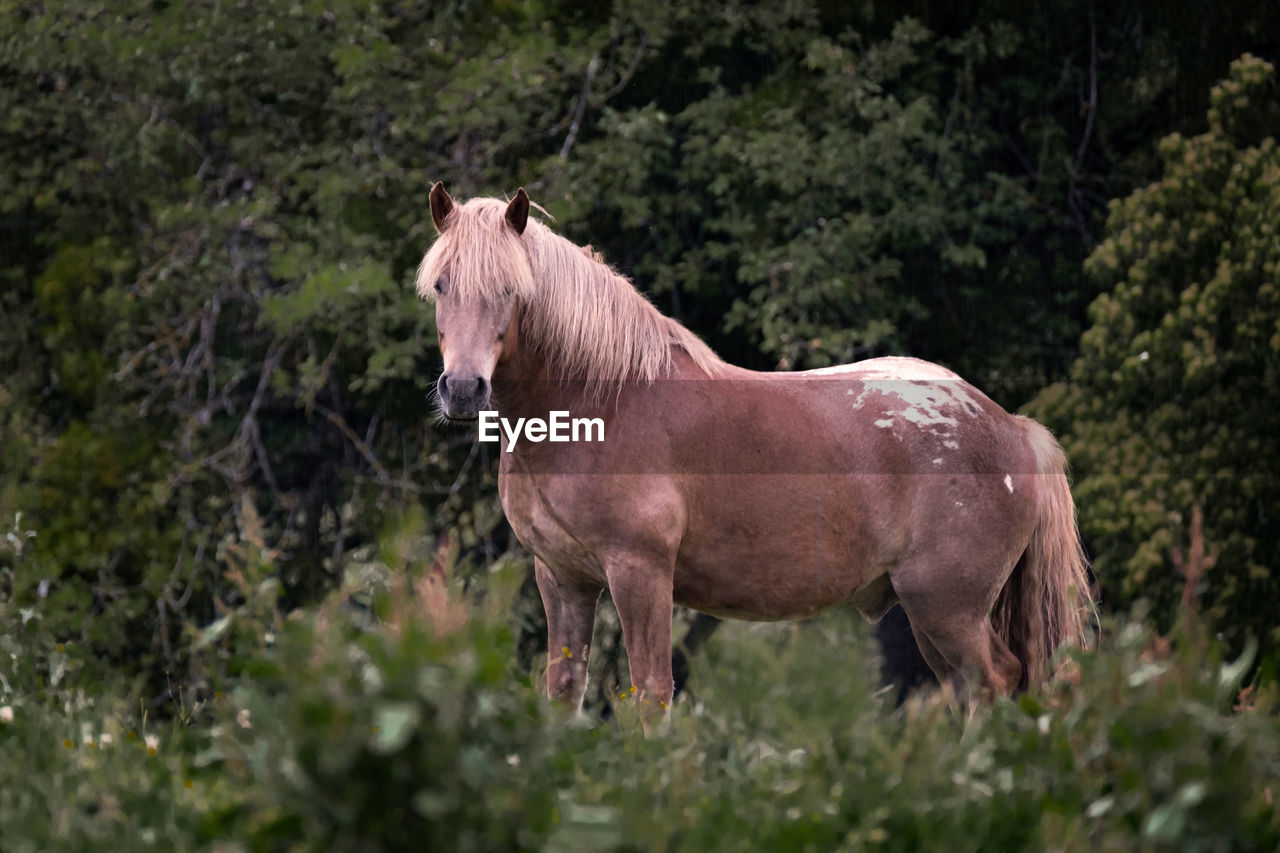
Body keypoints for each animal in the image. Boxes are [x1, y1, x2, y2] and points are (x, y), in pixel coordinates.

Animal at [414, 183, 1095, 722]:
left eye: (510, 289)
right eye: (441, 286)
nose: (464, 389)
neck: (600, 403)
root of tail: (1011, 427)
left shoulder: (640, 573)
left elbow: (651, 694)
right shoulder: (562, 579)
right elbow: (564, 692)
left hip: (948, 608)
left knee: (994, 684)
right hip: (936, 613)